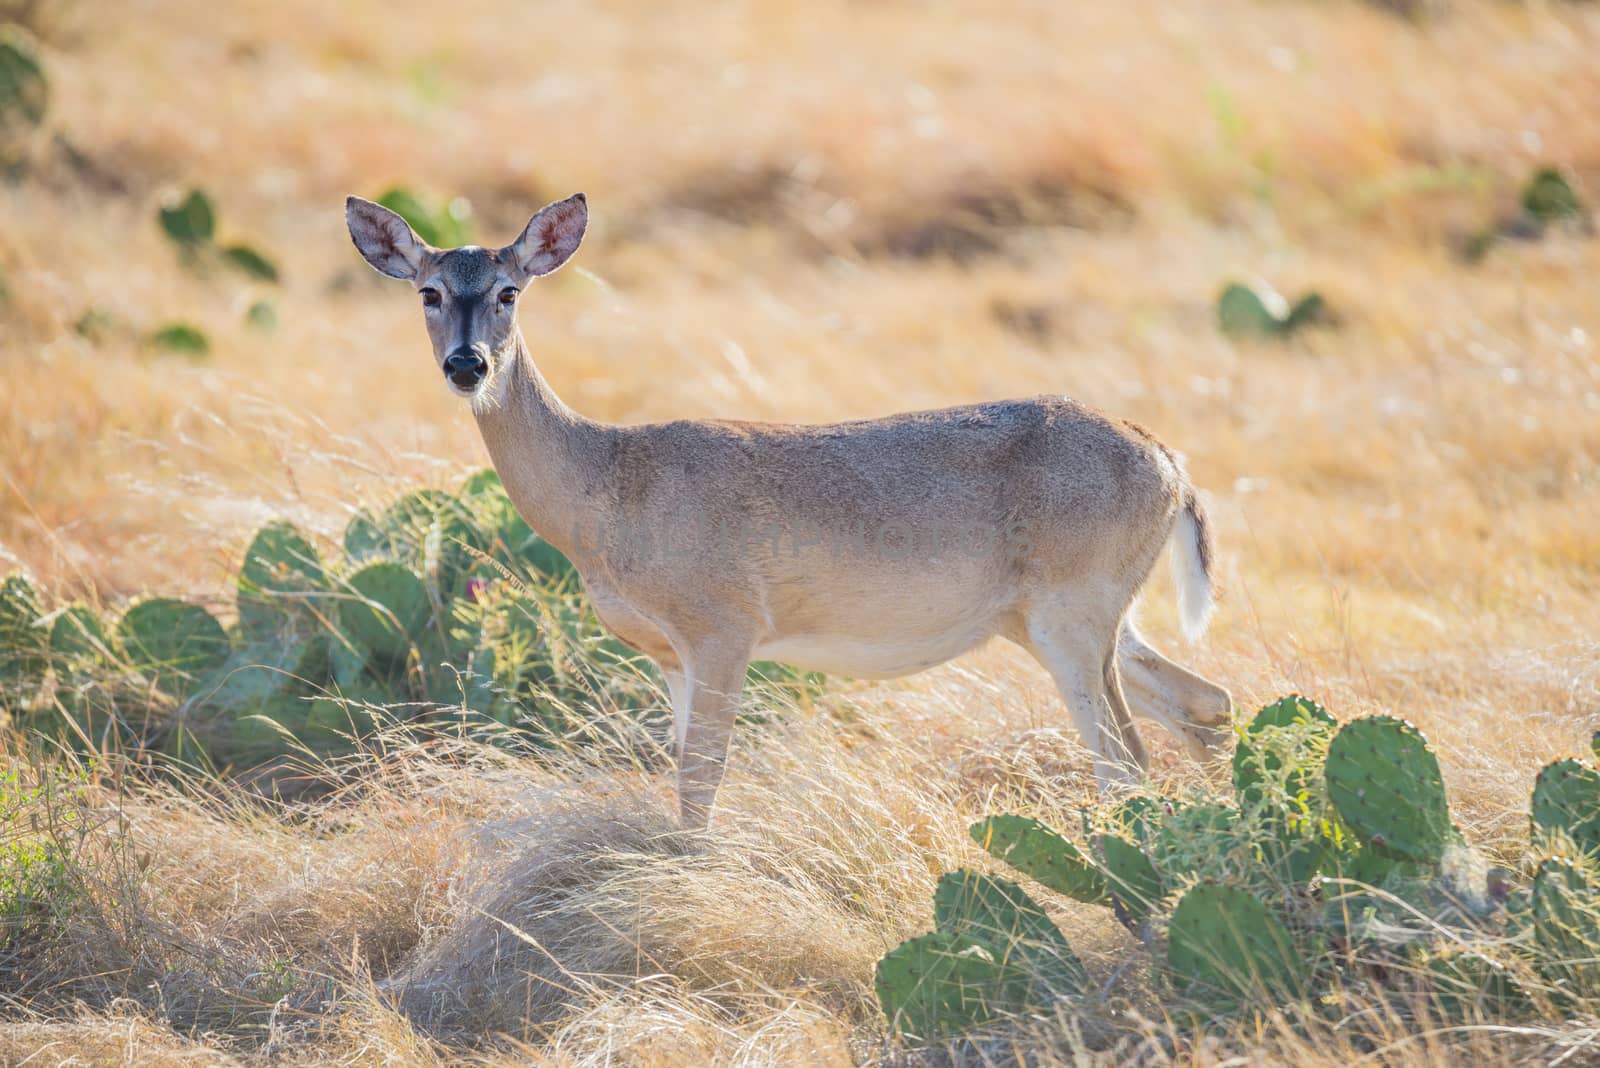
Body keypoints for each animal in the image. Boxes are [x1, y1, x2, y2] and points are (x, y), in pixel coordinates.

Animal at [344, 189, 1228, 824]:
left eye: (508, 291)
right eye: (428, 292)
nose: (467, 365)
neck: (607, 489)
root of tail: (1170, 464)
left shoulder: (724, 625)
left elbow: (700, 786)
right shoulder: (668, 655)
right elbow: (685, 779)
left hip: (1072, 615)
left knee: (1126, 758)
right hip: (1070, 619)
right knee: (1202, 702)